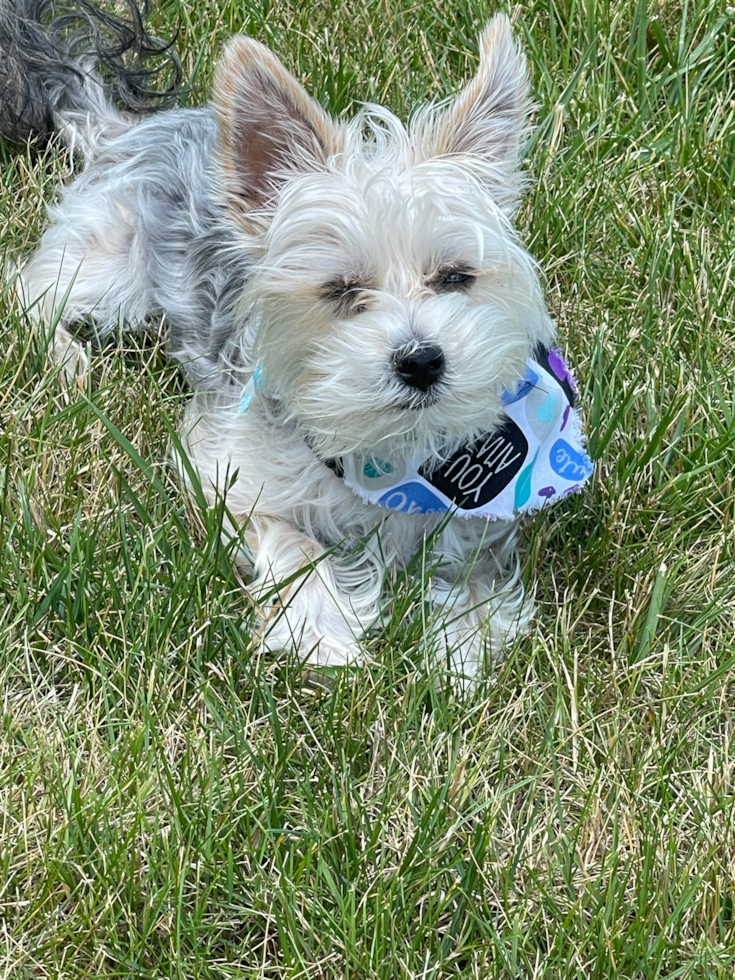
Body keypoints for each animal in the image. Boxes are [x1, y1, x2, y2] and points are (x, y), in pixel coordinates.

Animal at [0, 0, 588, 680]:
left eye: (455, 277)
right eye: (340, 289)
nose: (422, 361)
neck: (388, 452)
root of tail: (125, 129)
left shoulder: (477, 521)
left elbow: (471, 576)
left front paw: (457, 650)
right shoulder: (223, 471)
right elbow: (294, 543)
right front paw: (322, 631)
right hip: (112, 270)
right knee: (26, 289)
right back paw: (65, 354)